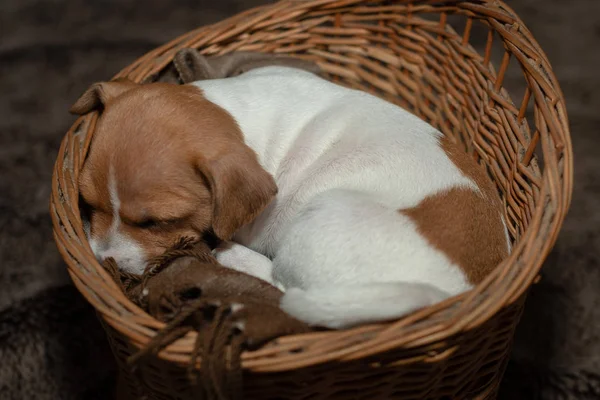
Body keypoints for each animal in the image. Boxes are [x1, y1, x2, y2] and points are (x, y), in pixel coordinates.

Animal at [70, 65, 510, 328]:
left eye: (157, 222)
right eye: (87, 203)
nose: (103, 260)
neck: (240, 118)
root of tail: (451, 296)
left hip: (322, 219)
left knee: (281, 285)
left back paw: (232, 257)